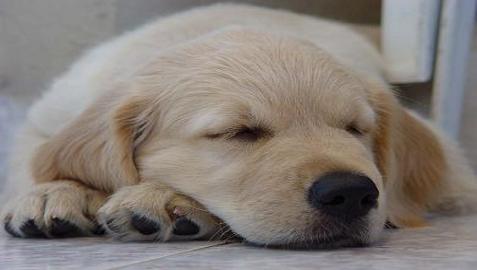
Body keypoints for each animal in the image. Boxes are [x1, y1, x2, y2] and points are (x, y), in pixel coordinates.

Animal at [0, 4, 476, 248]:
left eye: (355, 129)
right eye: (238, 133)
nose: (351, 192)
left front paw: (164, 198)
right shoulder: (48, 112)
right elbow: (32, 160)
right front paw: (53, 193)